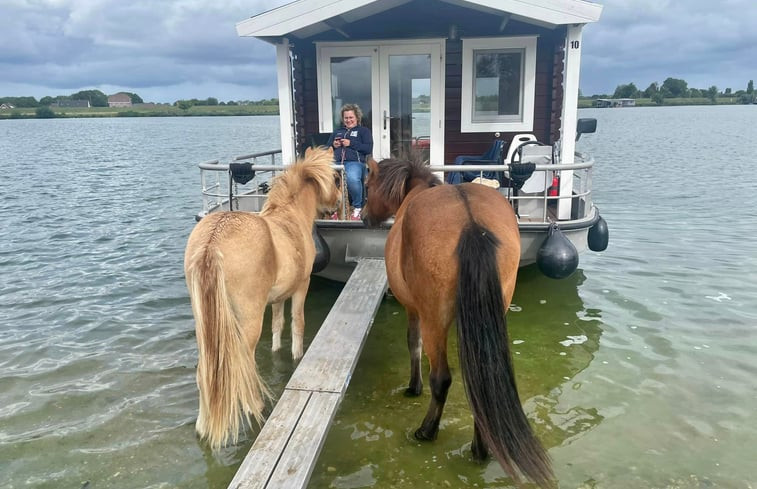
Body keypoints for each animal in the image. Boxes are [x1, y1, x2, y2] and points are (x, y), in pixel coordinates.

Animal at [183, 147, 340, 448]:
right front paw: (297, 355)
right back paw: (255, 407)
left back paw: (202, 425)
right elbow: (297, 324)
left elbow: (278, 325)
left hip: (204, 325)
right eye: (336, 179)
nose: (337, 204)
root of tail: (212, 243)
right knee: (243, 366)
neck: (290, 217)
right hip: (248, 320)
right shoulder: (301, 287)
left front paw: (278, 350)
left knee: (203, 372)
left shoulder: (277, 297)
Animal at [364, 158, 552, 486]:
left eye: (367, 183)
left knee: (442, 378)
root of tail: (471, 224)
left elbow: (413, 345)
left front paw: (413, 387)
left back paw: (426, 431)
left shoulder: (413, 309)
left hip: (435, 319)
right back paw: (481, 449)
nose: (362, 217)